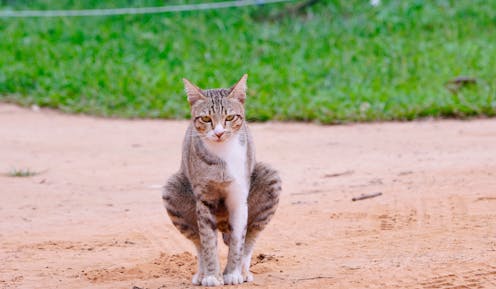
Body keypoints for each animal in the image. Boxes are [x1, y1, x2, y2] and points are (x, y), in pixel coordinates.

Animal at [162, 74, 280, 286]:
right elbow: (208, 241)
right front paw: (211, 275)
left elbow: (238, 241)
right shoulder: (203, 198)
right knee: (197, 241)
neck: (222, 157)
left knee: (250, 236)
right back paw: (201, 274)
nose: (218, 132)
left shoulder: (239, 198)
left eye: (230, 117)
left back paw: (243, 271)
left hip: (270, 178)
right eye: (206, 118)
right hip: (172, 189)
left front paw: (232, 273)